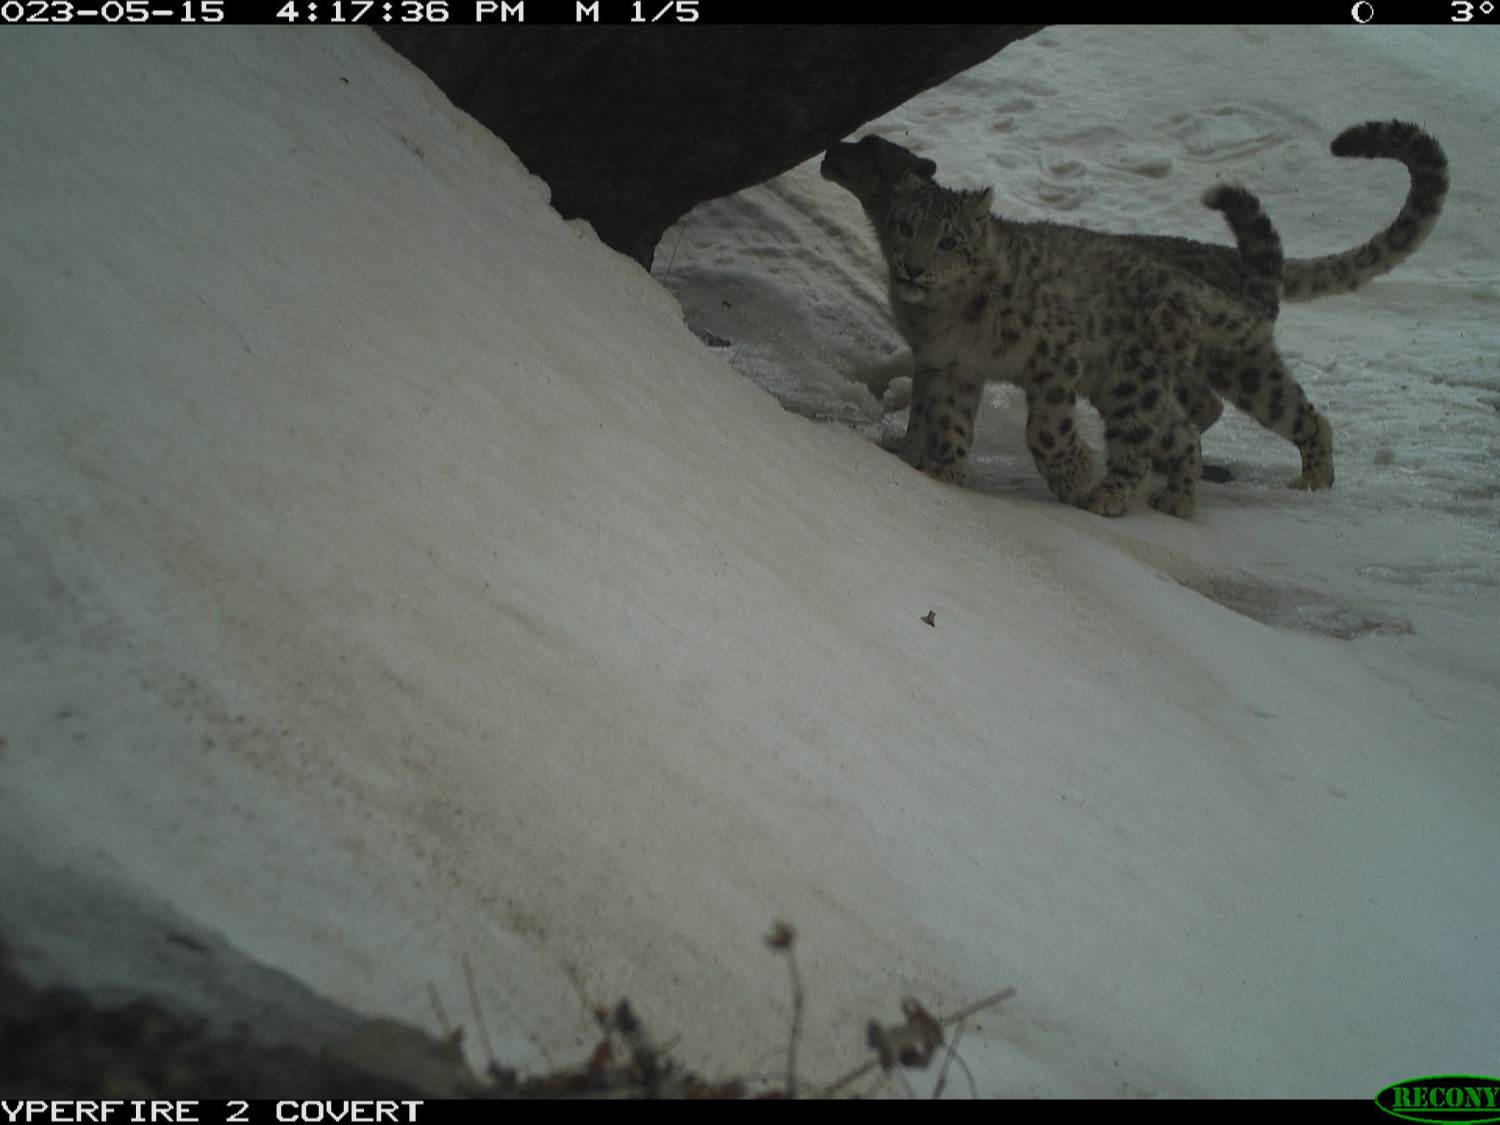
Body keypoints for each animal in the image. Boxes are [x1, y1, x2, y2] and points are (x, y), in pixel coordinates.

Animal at [870, 174, 1314, 522]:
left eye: (948, 242)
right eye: (904, 227)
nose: (913, 268)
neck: (948, 314)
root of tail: (1183, 283)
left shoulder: (1054, 353)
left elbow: (1046, 429)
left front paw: (1076, 473)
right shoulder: (950, 365)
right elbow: (947, 421)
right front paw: (946, 474)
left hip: (1132, 380)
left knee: (1136, 442)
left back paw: (1108, 495)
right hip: (1127, 384)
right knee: (1182, 430)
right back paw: (1177, 498)